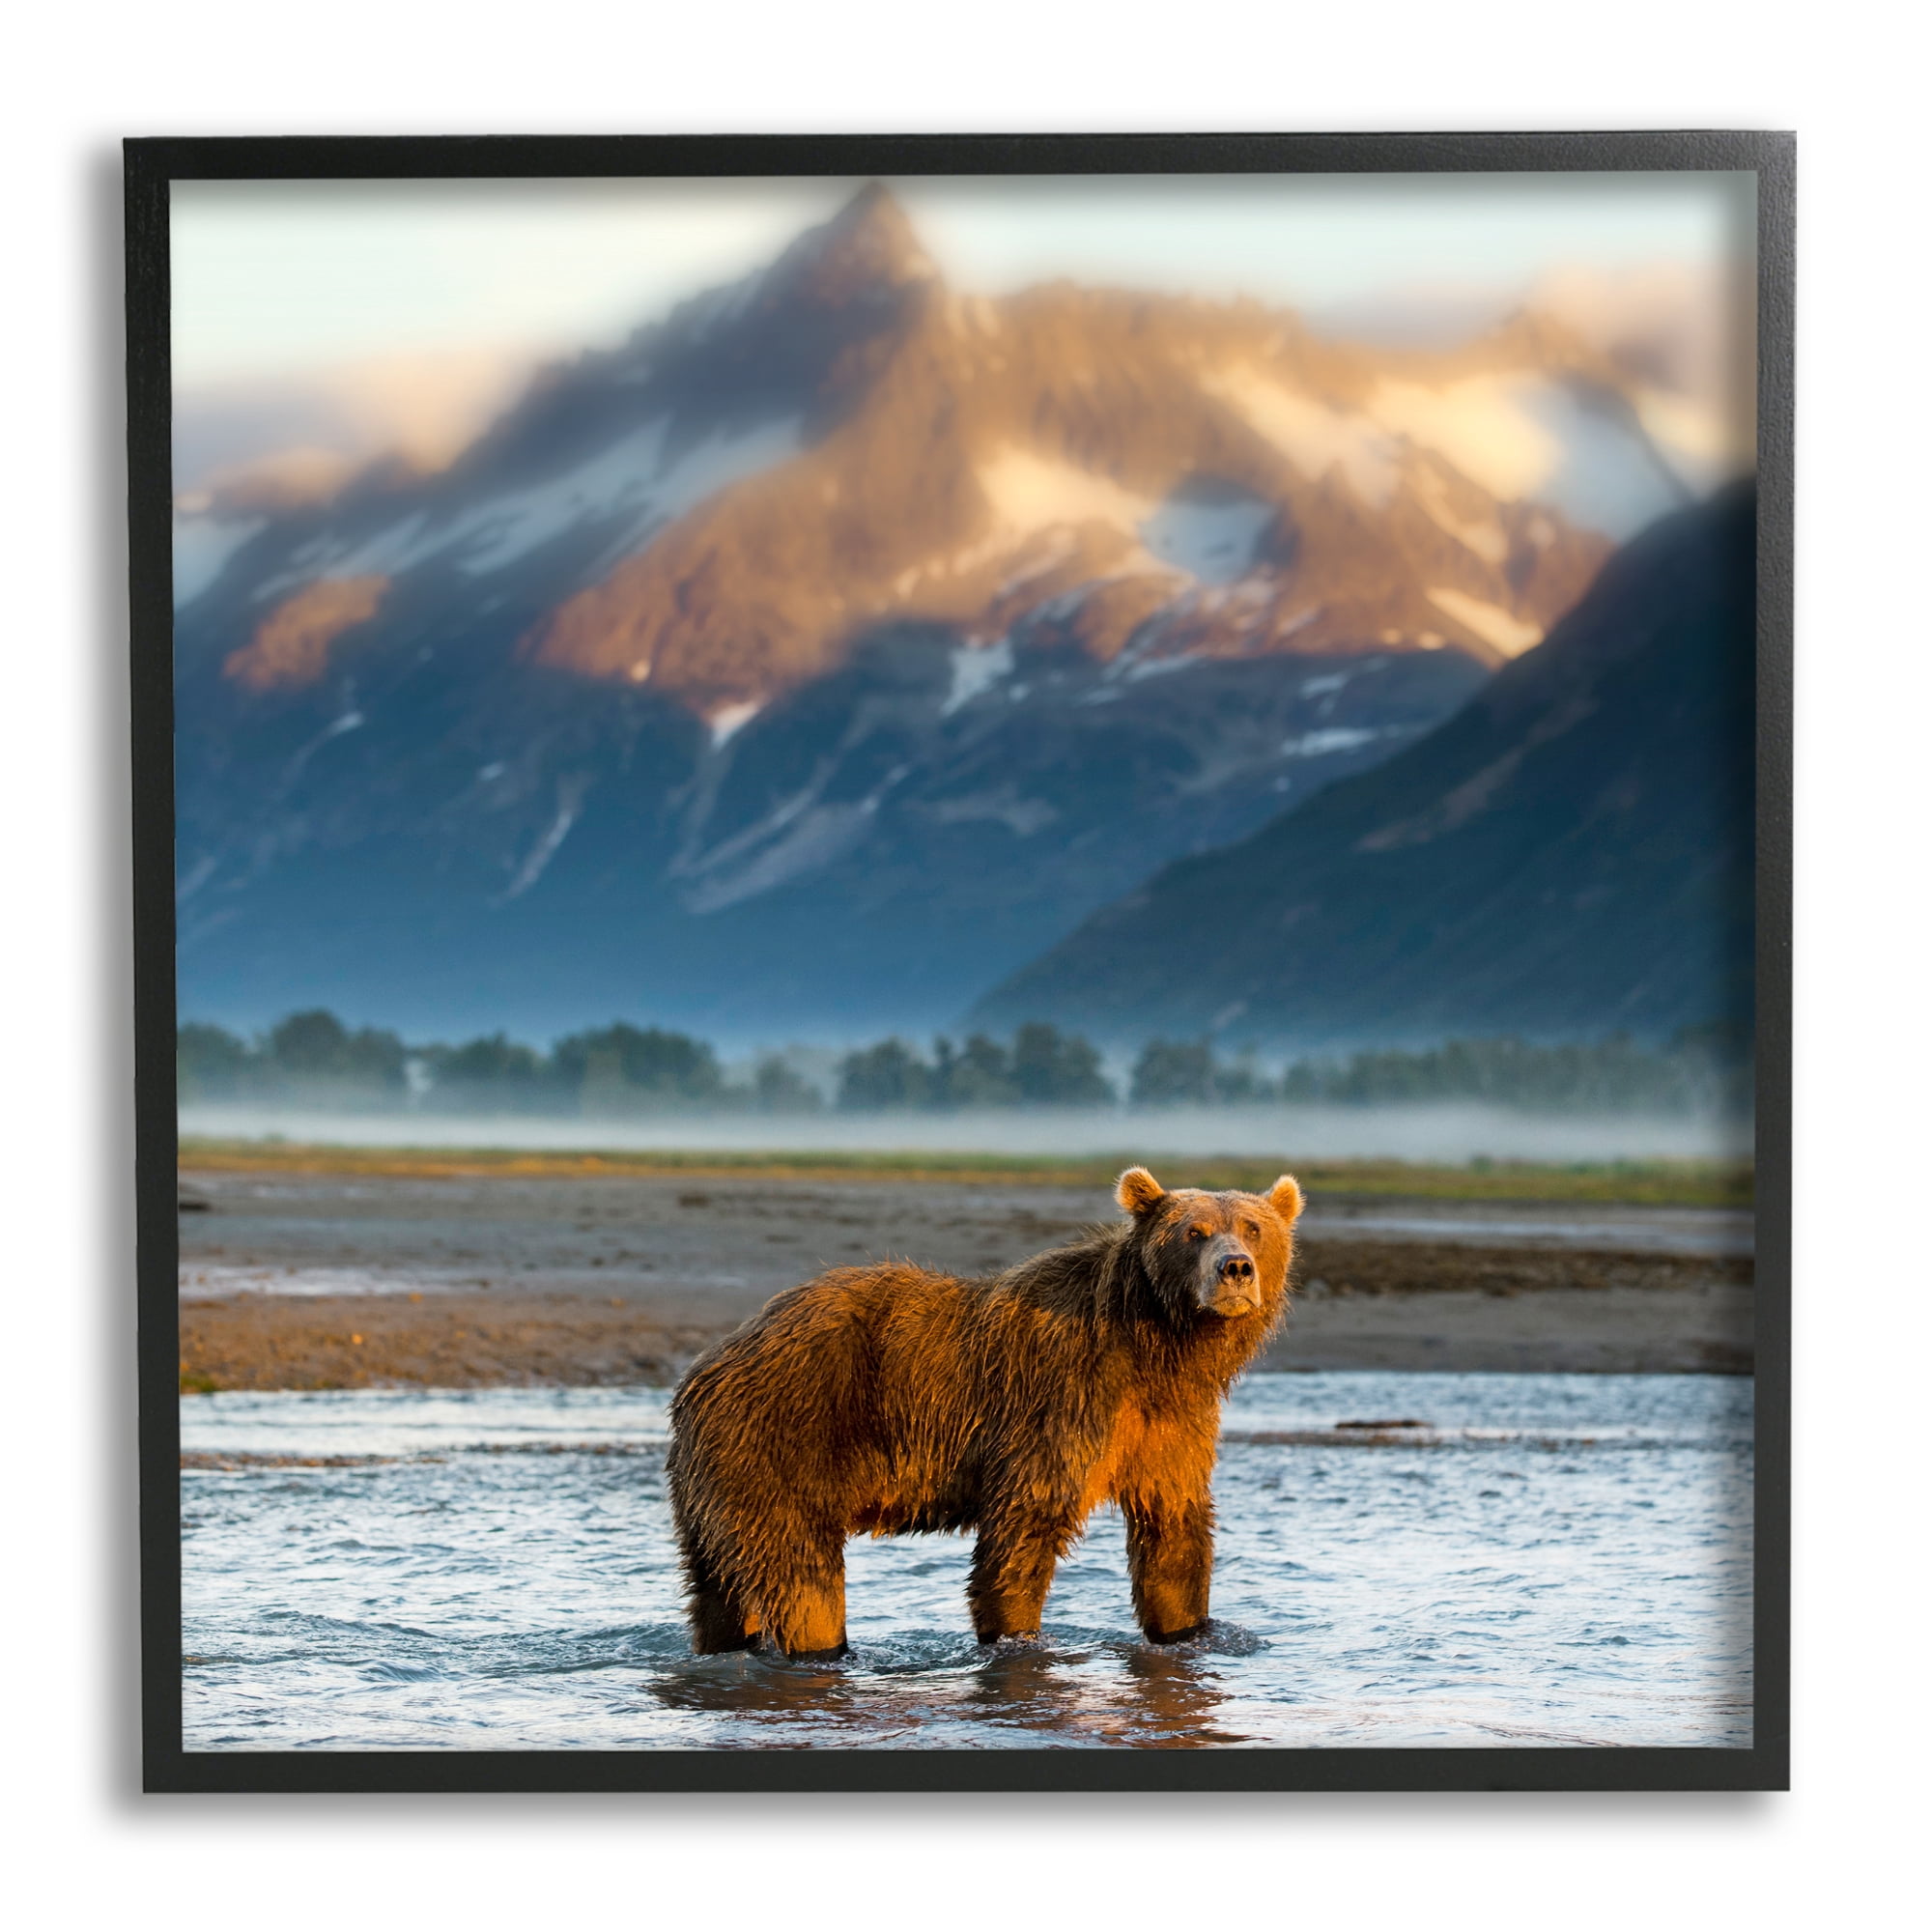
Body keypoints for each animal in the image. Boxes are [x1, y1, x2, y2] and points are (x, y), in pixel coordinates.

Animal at [666, 1165, 1302, 1657]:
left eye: (1253, 1228)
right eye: (1194, 1232)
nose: (1235, 1267)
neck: (1159, 1345)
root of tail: (706, 1366)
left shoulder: (1169, 1422)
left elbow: (1173, 1528)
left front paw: (1190, 1633)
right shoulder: (1061, 1399)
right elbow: (1025, 1527)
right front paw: (1017, 1639)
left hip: (714, 1484)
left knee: (717, 1587)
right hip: (786, 1439)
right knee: (802, 1579)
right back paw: (821, 1650)